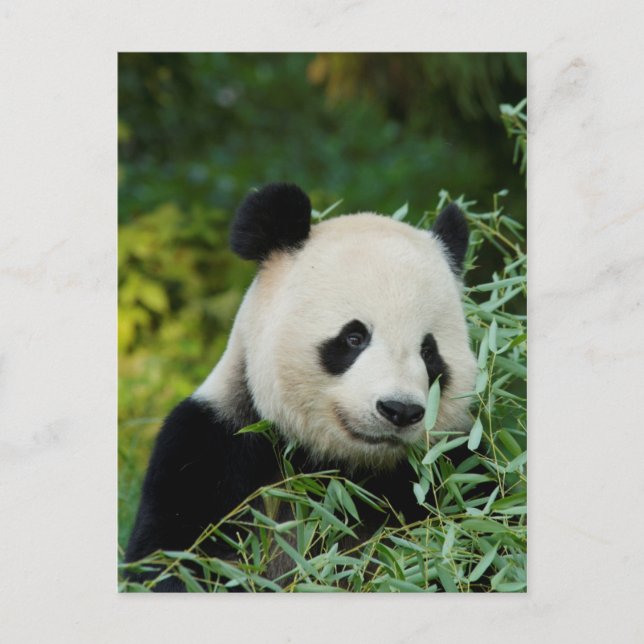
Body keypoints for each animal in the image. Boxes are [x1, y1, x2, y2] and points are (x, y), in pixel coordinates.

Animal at [124, 183, 477, 591]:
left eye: (429, 352)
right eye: (354, 338)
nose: (399, 410)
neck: (343, 471)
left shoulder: (454, 468)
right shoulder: (208, 452)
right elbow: (174, 562)